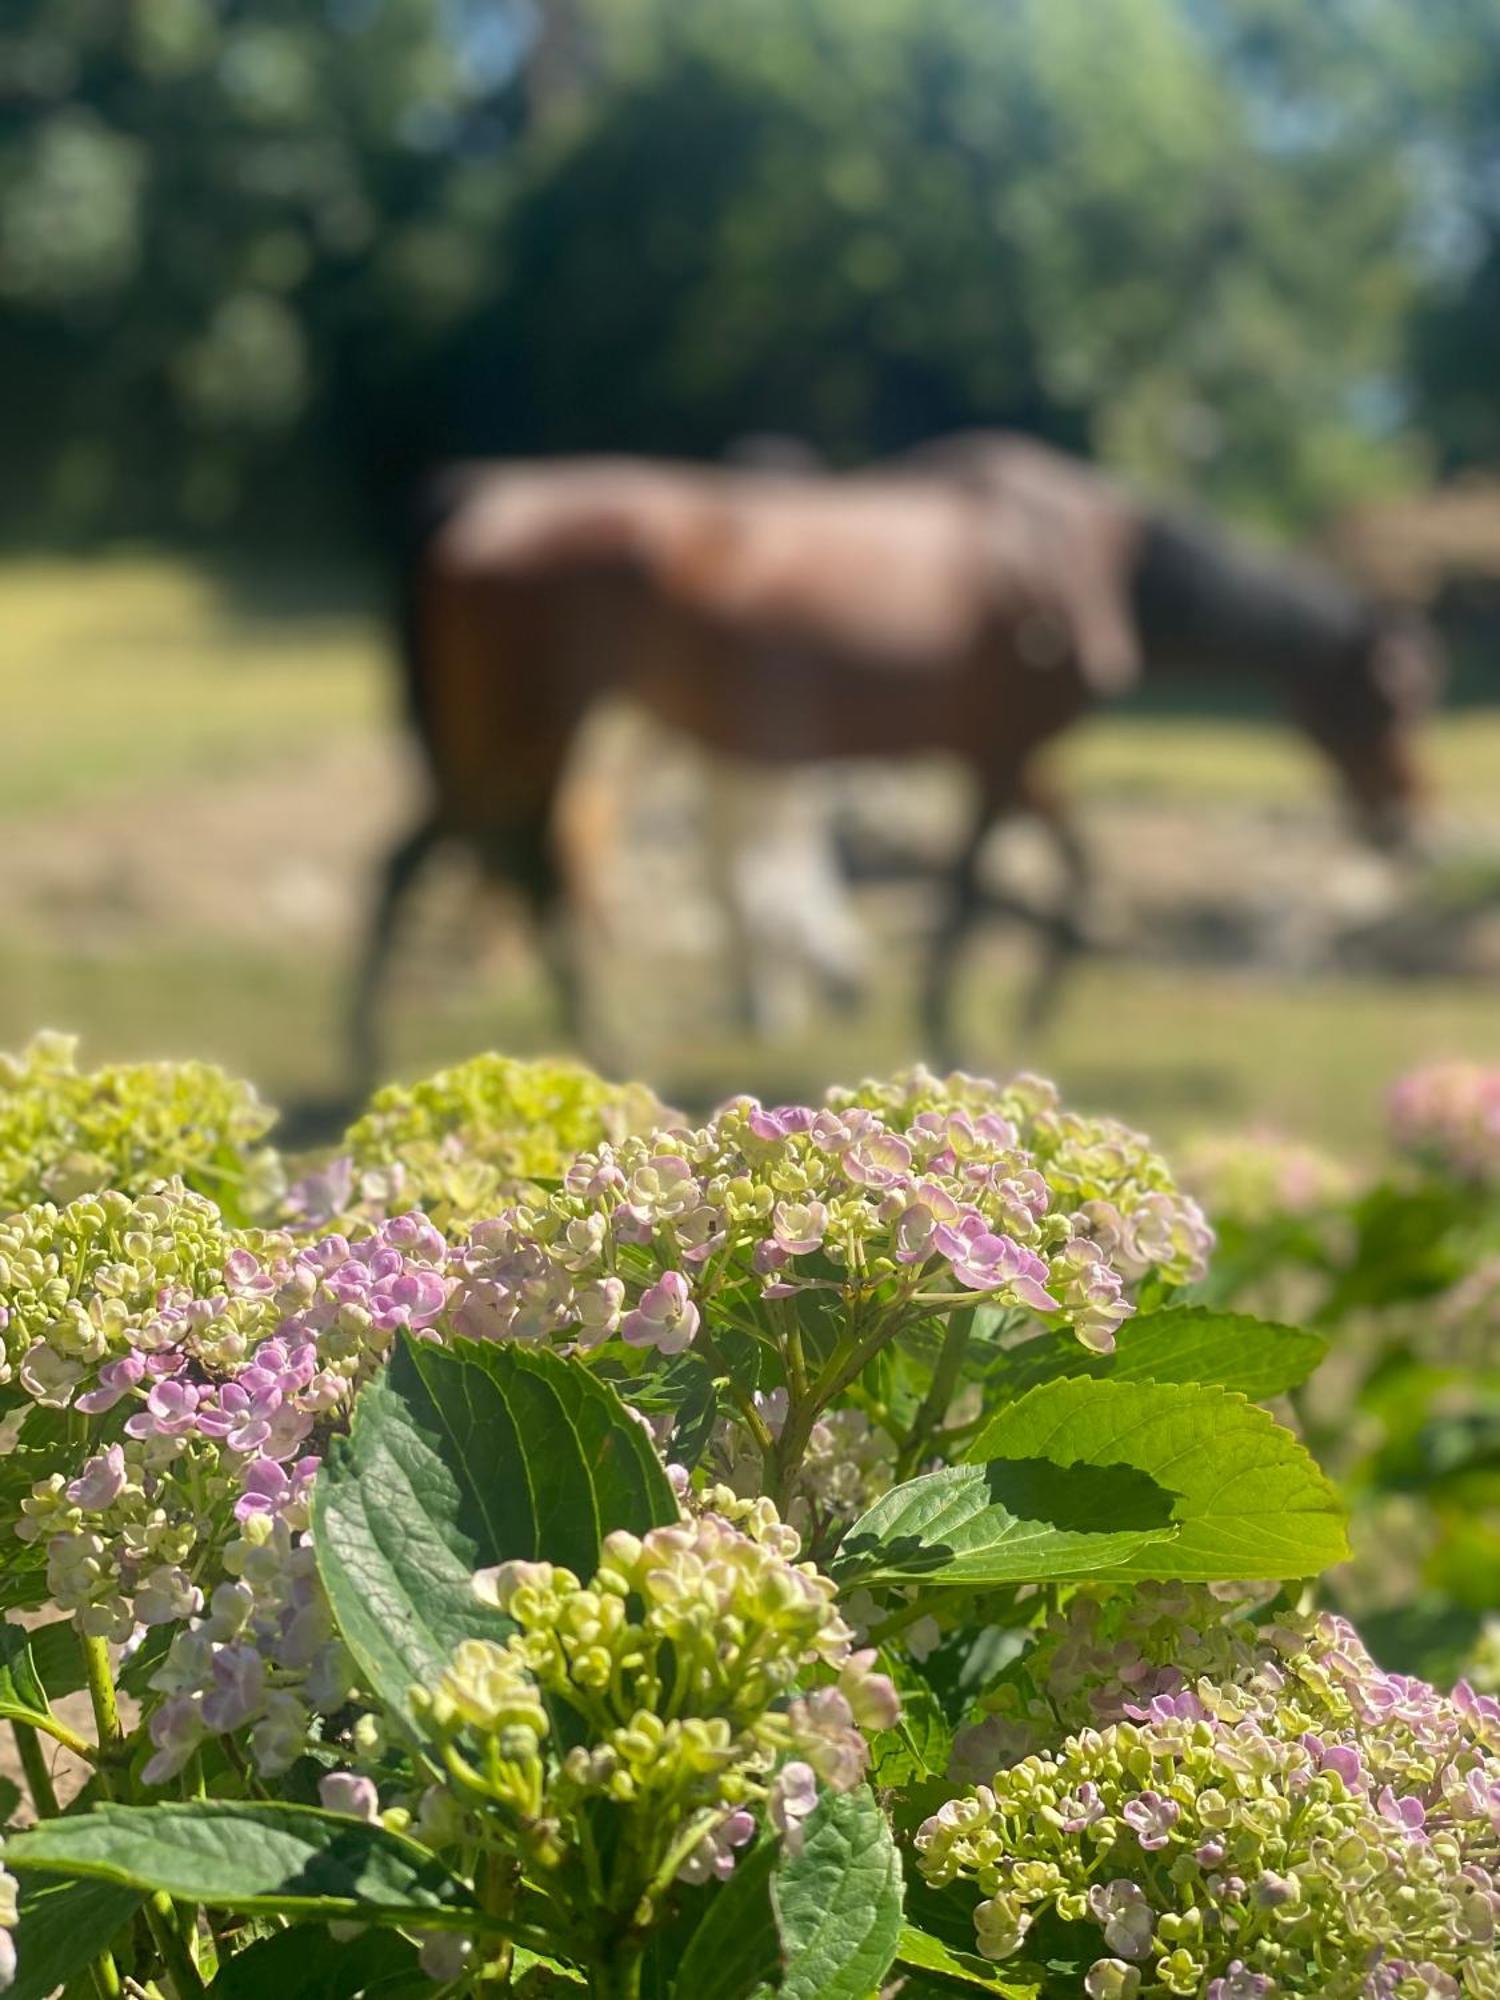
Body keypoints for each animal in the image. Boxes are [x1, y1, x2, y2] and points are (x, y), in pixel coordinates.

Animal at [352, 450, 1448, 1096]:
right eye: (1394, 699)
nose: (1412, 826)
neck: (1078, 558)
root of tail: (481, 502)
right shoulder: (1003, 755)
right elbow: (977, 891)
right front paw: (961, 1017)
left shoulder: (1008, 756)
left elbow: (1060, 873)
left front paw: (1028, 997)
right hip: (522, 729)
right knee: (452, 863)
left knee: (488, 862)